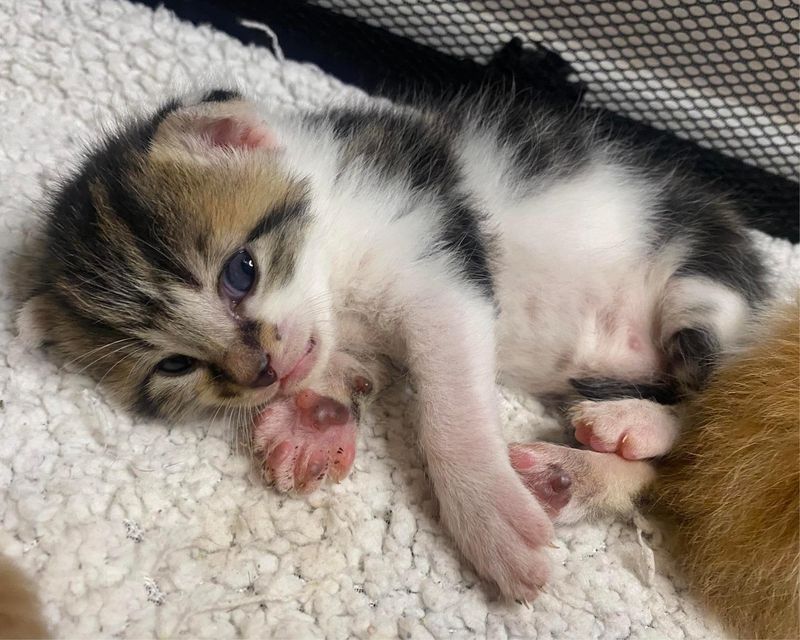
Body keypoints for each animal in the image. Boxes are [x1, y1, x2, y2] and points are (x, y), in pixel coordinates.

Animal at [20, 89, 768, 600]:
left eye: (241, 271)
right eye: (176, 364)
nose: (260, 370)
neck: (336, 238)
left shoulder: (438, 256)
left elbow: (449, 411)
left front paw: (489, 518)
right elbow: (334, 365)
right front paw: (313, 419)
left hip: (702, 293)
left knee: (715, 401)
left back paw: (629, 426)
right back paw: (573, 471)